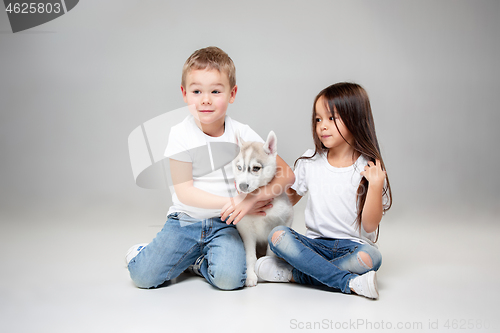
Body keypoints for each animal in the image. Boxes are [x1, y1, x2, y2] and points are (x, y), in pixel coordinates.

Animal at [233, 131, 294, 286]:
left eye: (256, 168)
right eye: (239, 168)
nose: (242, 186)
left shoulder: (280, 223)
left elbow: (270, 253)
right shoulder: (246, 231)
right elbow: (250, 256)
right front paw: (250, 276)